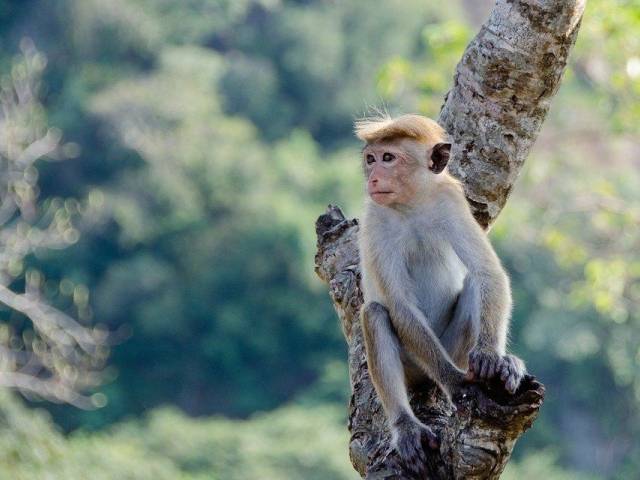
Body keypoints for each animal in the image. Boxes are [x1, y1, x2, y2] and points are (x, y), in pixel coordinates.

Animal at [356, 114, 526, 473]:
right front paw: (455, 383)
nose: (374, 177)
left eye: (388, 158)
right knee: (375, 313)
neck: (411, 205)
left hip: (453, 347)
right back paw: (406, 427)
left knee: (474, 284)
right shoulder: (376, 220)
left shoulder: (450, 201)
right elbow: (400, 306)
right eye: (371, 159)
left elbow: (487, 273)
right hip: (414, 364)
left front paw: (493, 358)